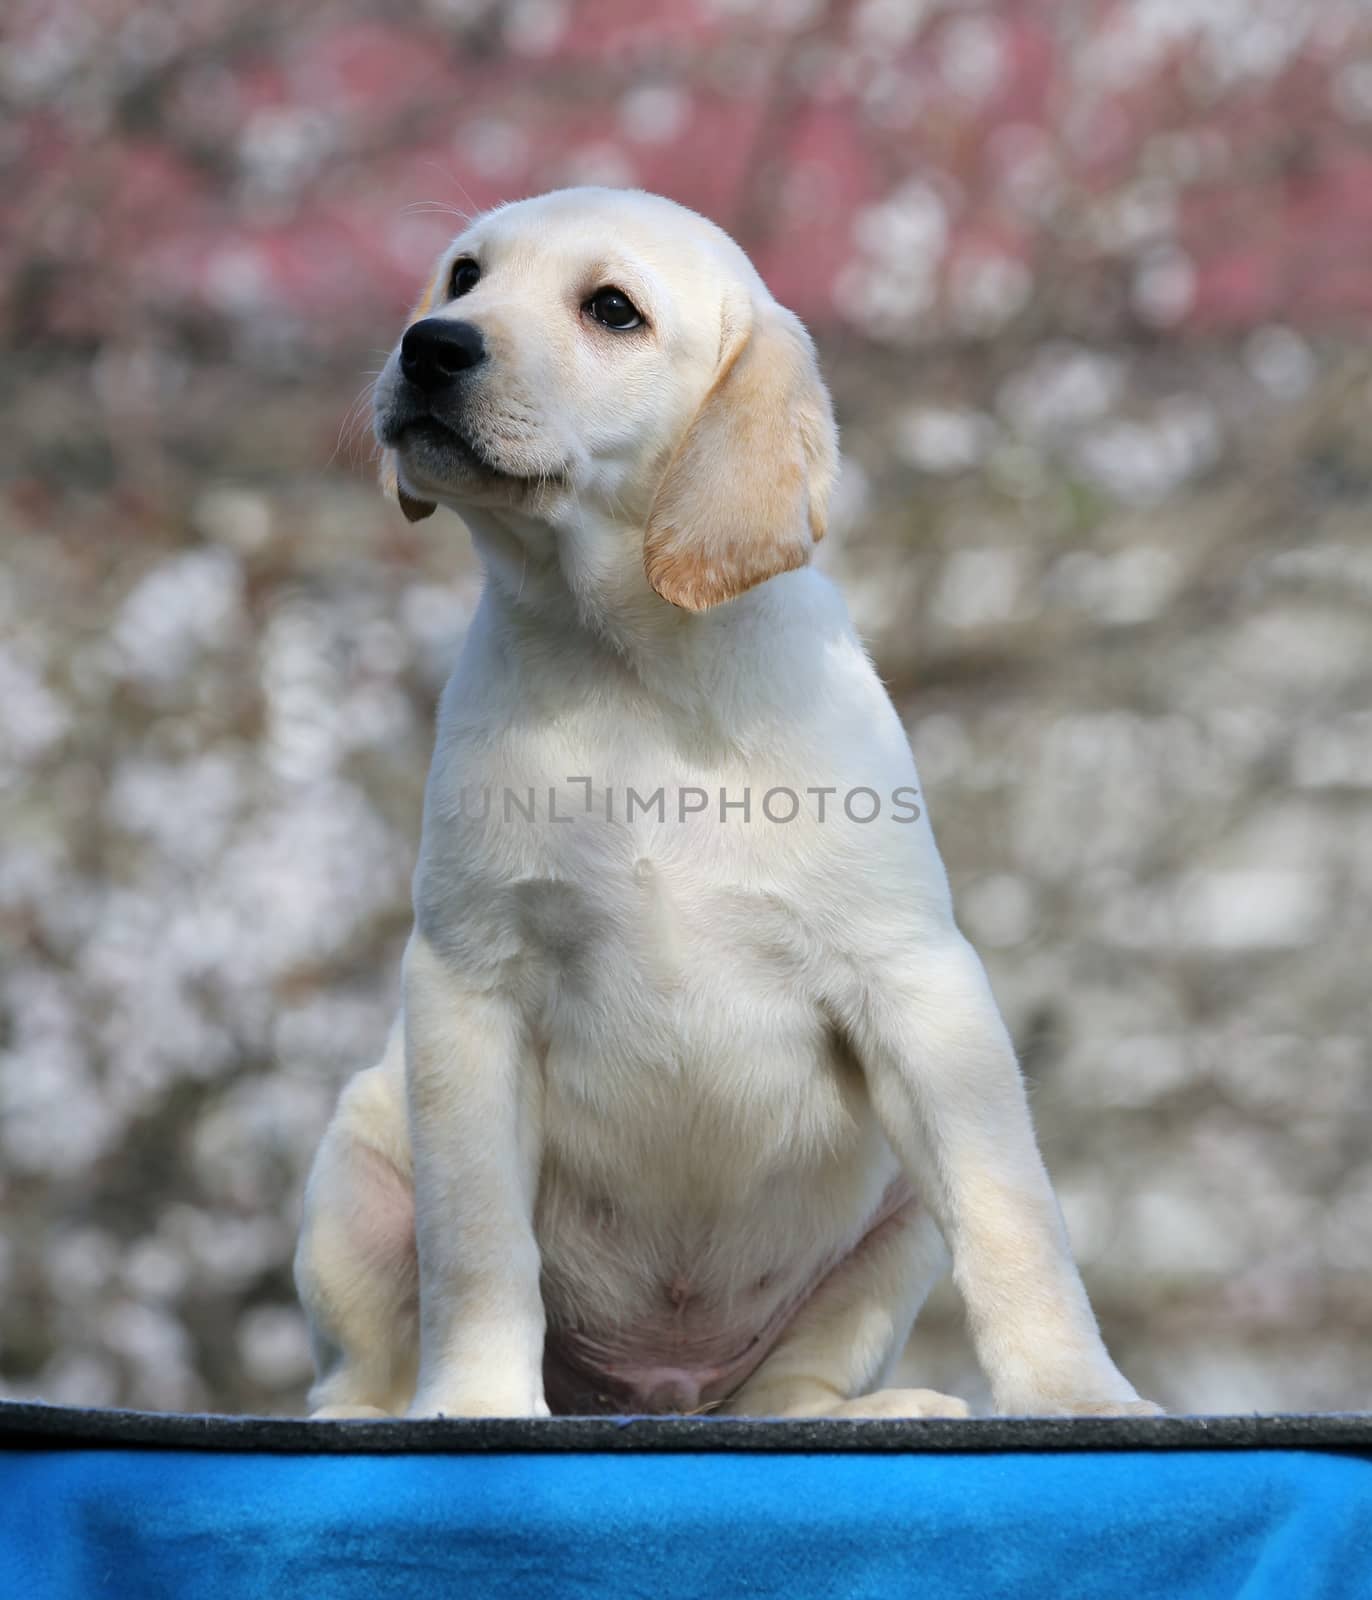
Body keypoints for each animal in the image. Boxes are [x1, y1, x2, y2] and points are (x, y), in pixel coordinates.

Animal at [291, 187, 1157, 1427]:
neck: (632, 674)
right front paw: (477, 1402)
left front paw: (1074, 1390)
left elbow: (1013, 1218)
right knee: (351, 1368)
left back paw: (875, 1409)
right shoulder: (467, 988)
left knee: (788, 1391)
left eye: (612, 310)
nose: (429, 346)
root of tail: (655, 1397)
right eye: (462, 277)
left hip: (892, 1226)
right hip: (358, 1171)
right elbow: (478, 1246)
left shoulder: (916, 982)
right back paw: (379, 1412)